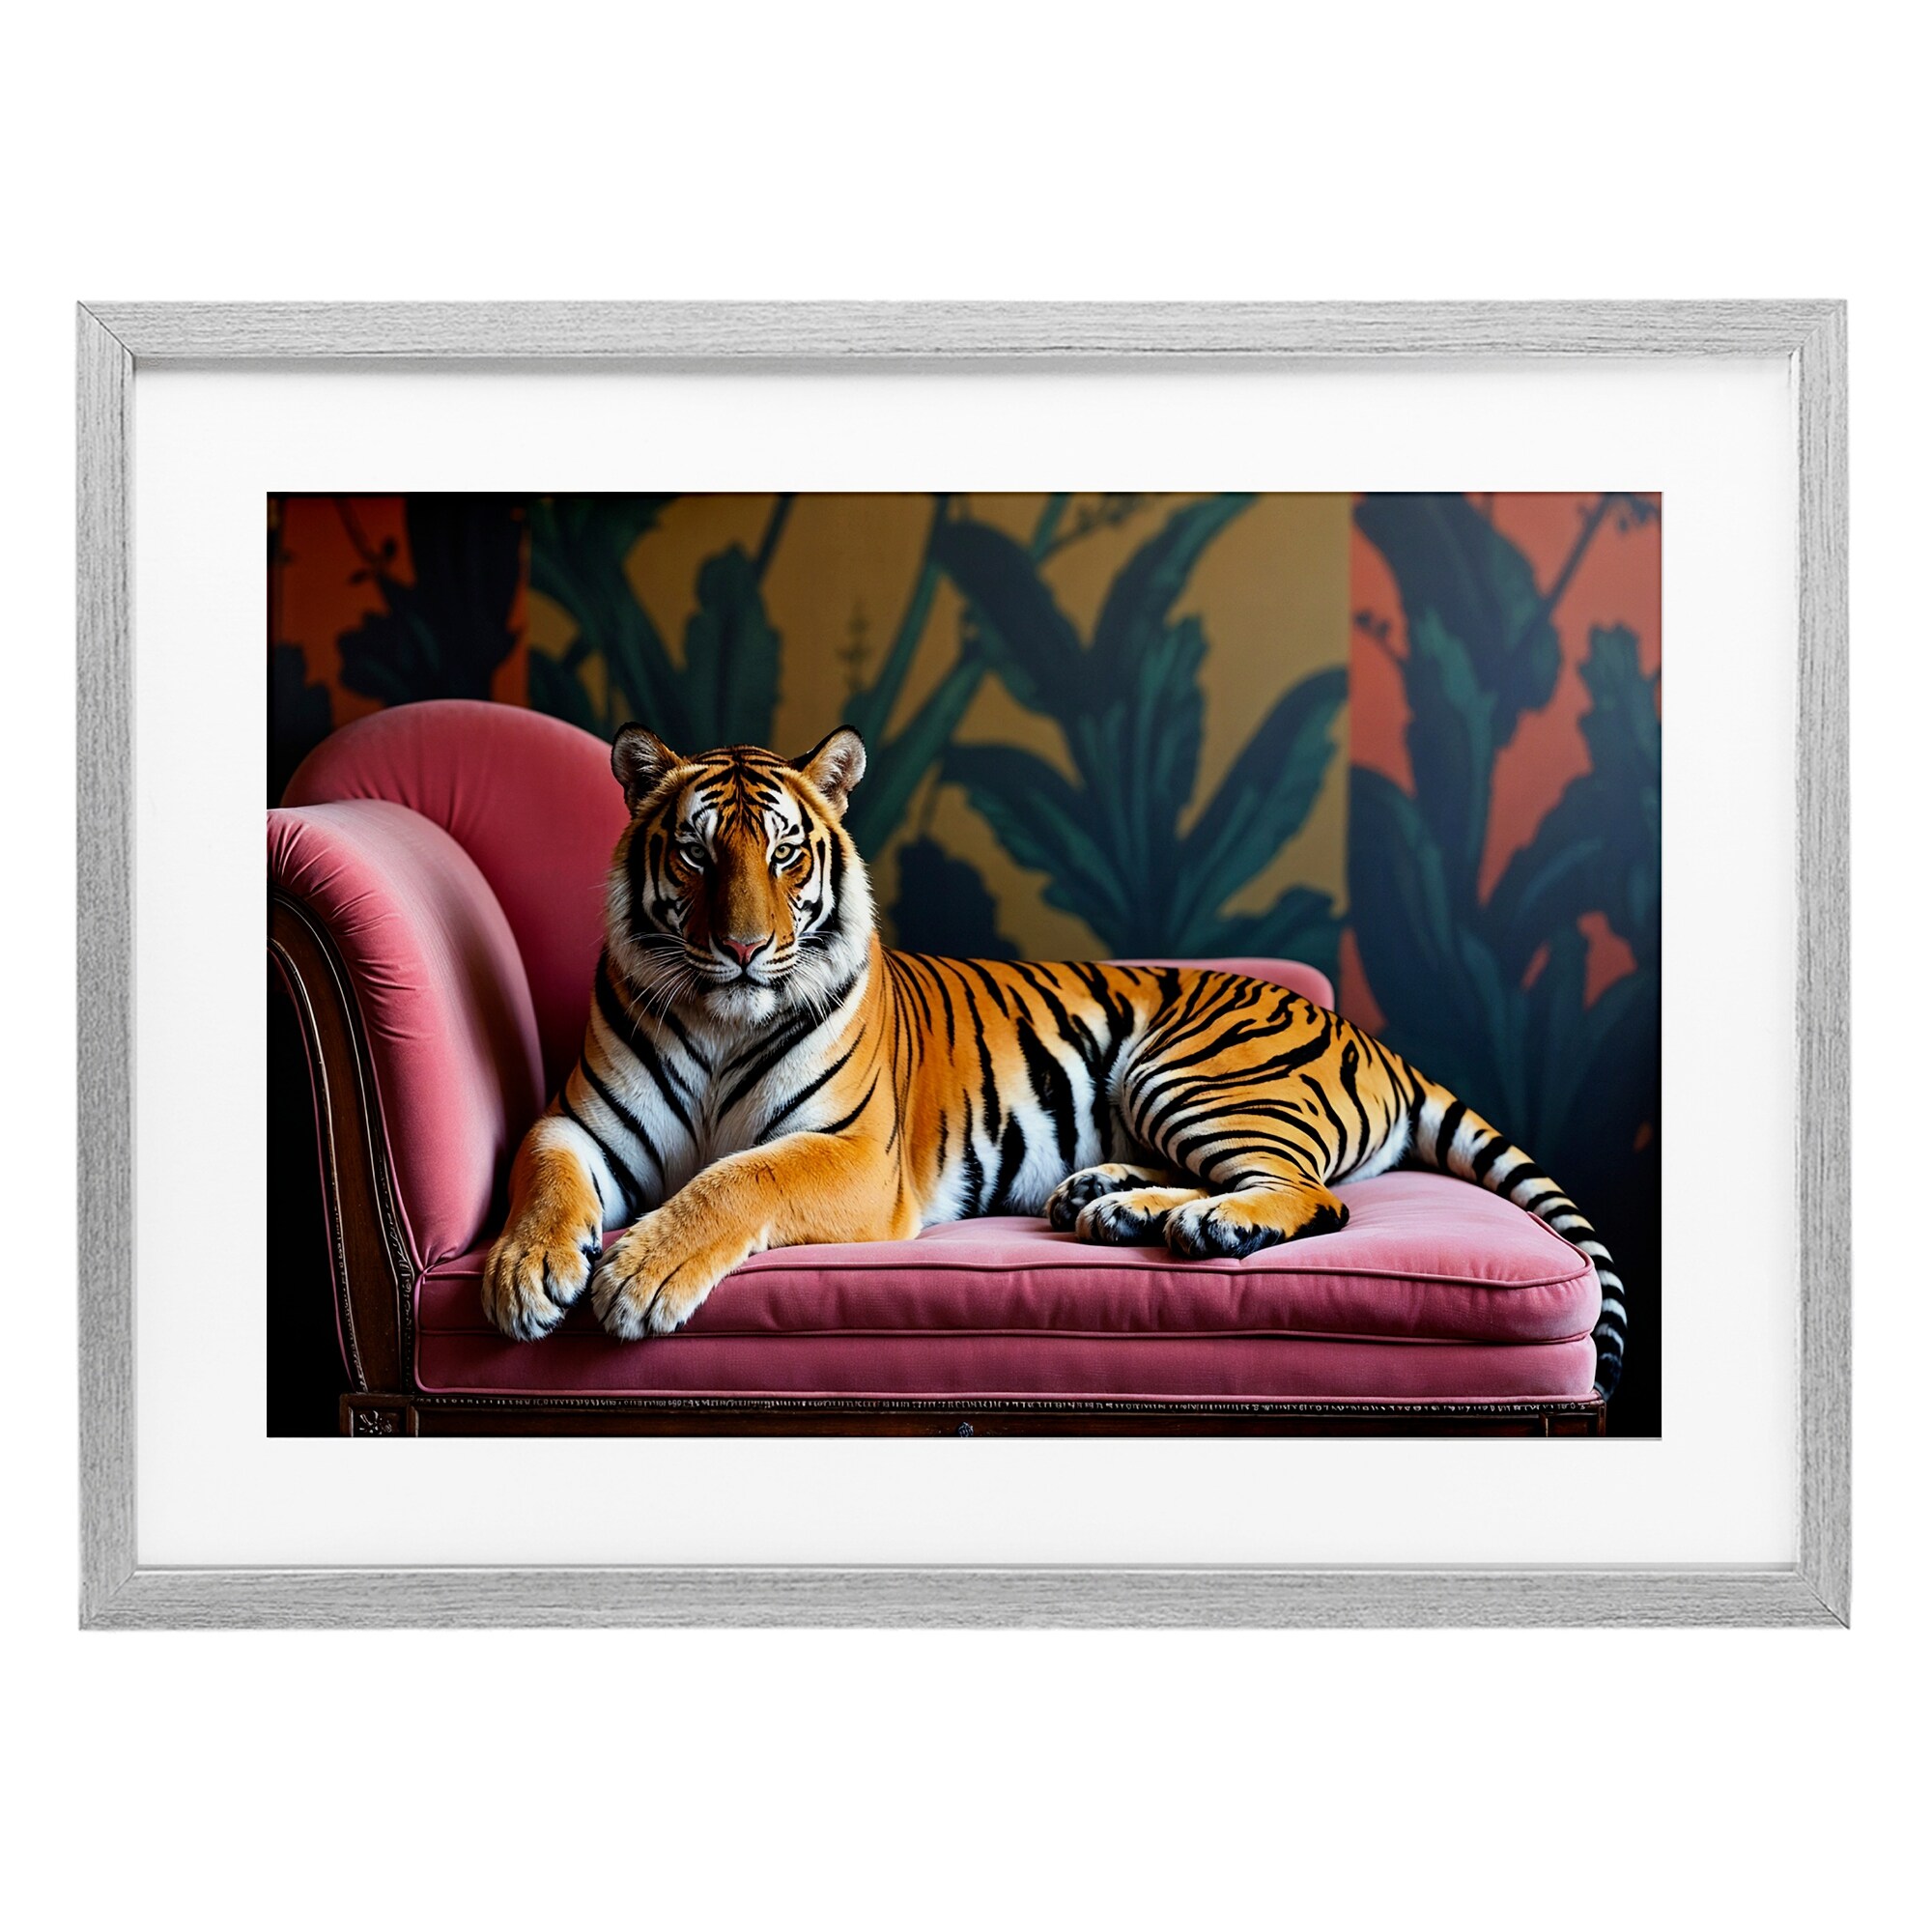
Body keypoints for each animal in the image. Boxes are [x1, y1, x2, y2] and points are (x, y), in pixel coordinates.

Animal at [483, 723, 1629, 1398]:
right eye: (693, 852)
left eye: (784, 852)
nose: (741, 947)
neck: (720, 1018)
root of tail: (1362, 1030)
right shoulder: (579, 1123)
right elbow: (540, 1172)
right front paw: (523, 1273)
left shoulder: (850, 1153)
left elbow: (736, 1179)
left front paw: (638, 1274)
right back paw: (1111, 1202)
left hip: (1188, 1071)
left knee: (1314, 1194)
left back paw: (1206, 1223)